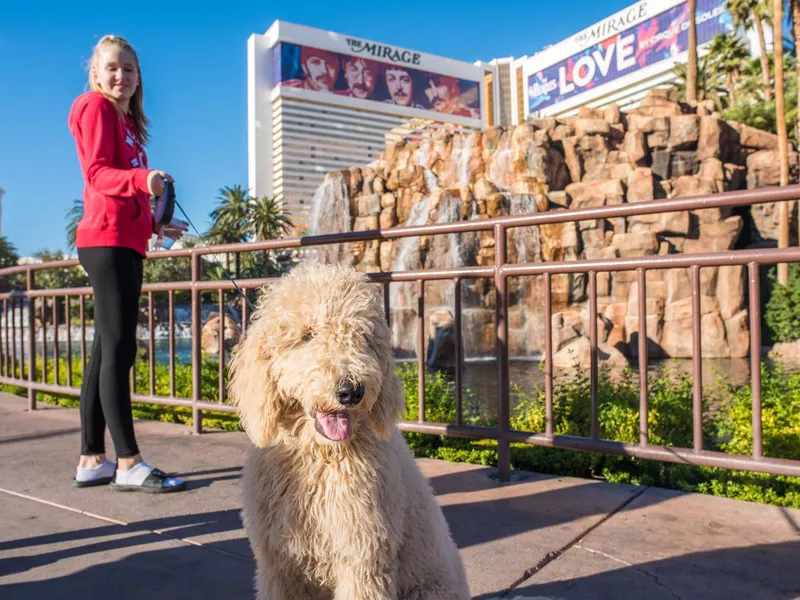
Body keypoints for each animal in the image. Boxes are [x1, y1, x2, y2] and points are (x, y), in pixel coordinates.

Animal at [227, 266, 468, 600]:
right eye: (307, 335)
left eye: (363, 337)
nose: (351, 391)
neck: (321, 458)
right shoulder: (279, 564)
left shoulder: (363, 559)